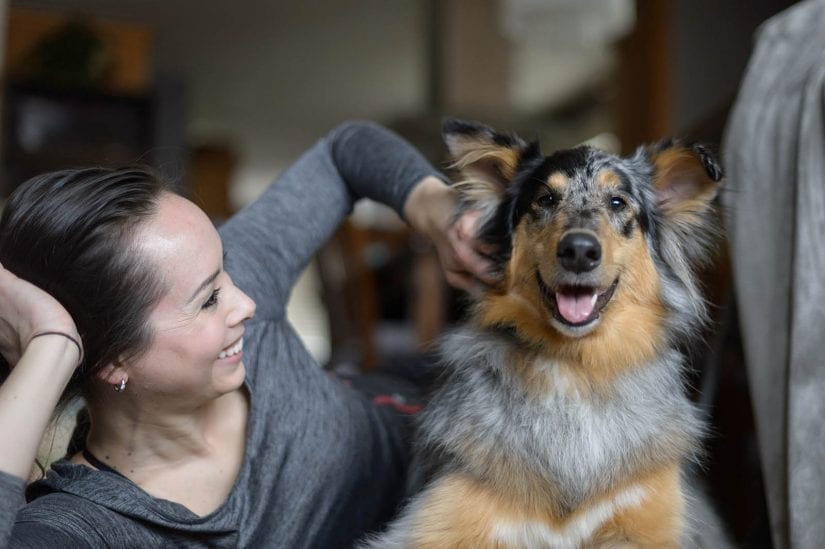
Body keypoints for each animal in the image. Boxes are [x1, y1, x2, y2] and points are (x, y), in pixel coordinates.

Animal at [360, 120, 728, 548]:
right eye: (546, 199)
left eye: (618, 202)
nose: (579, 251)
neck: (574, 366)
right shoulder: (438, 520)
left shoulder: (652, 520)